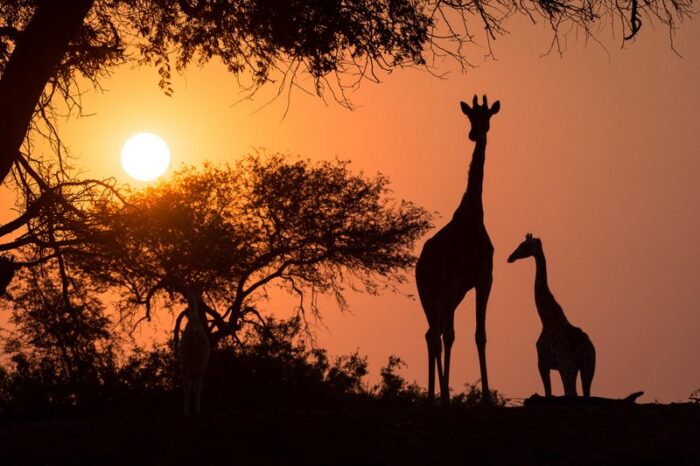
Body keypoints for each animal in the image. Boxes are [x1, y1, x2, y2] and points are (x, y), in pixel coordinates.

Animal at [178, 284, 211, 416]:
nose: (201, 300)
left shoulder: (188, 364)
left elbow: (189, 386)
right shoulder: (199, 364)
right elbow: (196, 386)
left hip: (186, 363)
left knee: (187, 386)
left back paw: (186, 411)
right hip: (198, 363)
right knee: (197, 386)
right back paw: (197, 411)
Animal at [416, 95, 498, 404]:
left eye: (487, 116)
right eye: (469, 117)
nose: (474, 133)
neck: (473, 217)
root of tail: (419, 263)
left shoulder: (483, 280)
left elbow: (480, 335)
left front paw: (486, 397)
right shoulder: (453, 282)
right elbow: (453, 336)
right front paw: (448, 395)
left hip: (450, 296)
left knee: (433, 332)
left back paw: (433, 395)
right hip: (430, 293)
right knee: (436, 334)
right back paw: (436, 396)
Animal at [508, 233, 596, 396]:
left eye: (523, 245)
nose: (510, 257)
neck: (547, 319)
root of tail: (585, 346)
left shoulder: (542, 363)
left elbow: (548, 392)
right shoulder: (556, 366)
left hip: (569, 366)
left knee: (572, 392)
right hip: (589, 366)